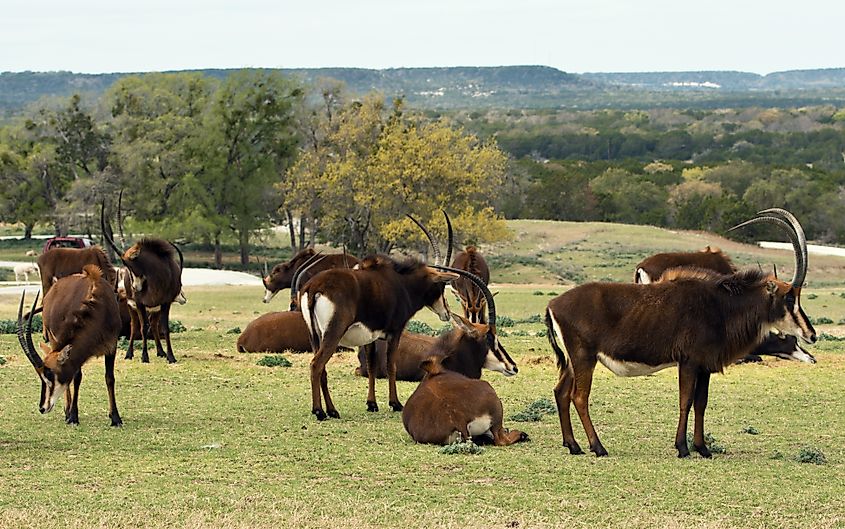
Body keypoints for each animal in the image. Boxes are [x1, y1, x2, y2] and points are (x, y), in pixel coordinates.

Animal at [16, 265, 123, 426]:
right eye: (41, 375)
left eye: (50, 374)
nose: (42, 408)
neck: (99, 308)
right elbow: (77, 377)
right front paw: (73, 416)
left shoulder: (112, 345)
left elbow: (109, 378)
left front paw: (115, 418)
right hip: (53, 339)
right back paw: (67, 412)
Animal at [546, 209, 816, 458]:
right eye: (789, 297)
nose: (811, 335)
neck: (720, 306)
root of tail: (553, 304)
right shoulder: (688, 362)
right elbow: (685, 401)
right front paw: (683, 447)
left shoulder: (705, 366)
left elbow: (701, 403)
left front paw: (703, 448)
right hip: (584, 358)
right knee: (579, 397)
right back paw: (598, 447)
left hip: (573, 361)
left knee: (561, 392)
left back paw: (573, 445)